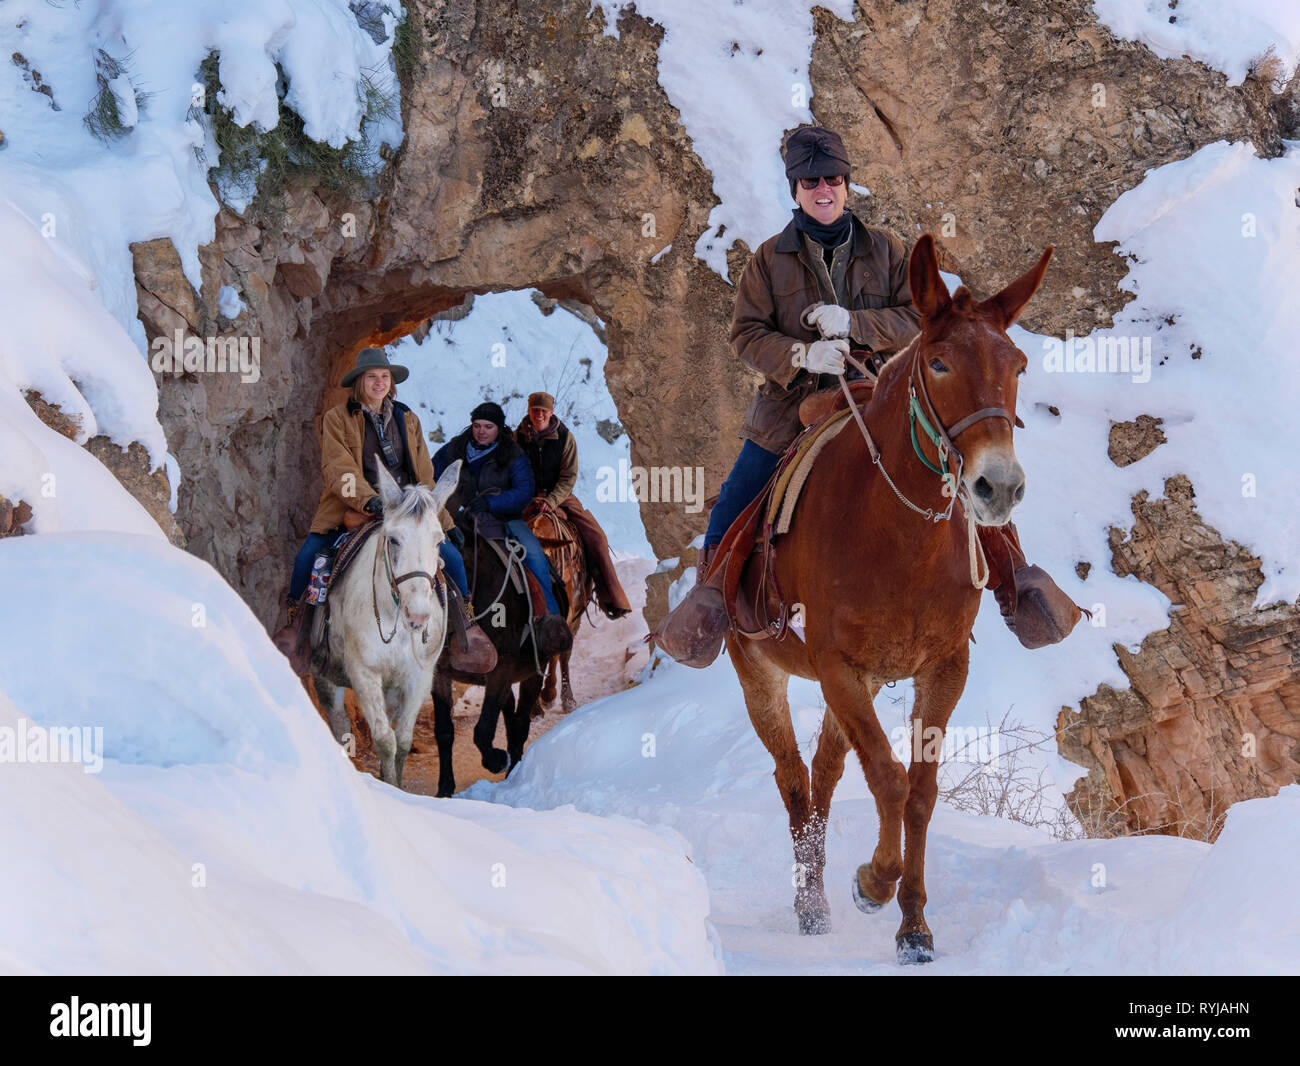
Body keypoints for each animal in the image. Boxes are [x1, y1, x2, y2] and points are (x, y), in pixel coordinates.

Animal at [314, 462, 462, 785]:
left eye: (439, 541)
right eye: (394, 540)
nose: (418, 616)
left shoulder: (419, 677)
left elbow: (403, 740)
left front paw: (395, 783)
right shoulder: (363, 673)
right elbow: (384, 739)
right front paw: (389, 786)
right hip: (327, 674)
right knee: (340, 725)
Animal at [728, 235, 1050, 967]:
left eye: (1017, 365)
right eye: (938, 362)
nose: (999, 486)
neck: (898, 537)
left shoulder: (943, 667)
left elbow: (921, 792)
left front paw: (914, 926)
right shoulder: (837, 666)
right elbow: (889, 777)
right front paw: (874, 882)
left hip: (863, 684)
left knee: (823, 773)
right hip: (762, 673)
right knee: (794, 780)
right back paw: (811, 902)